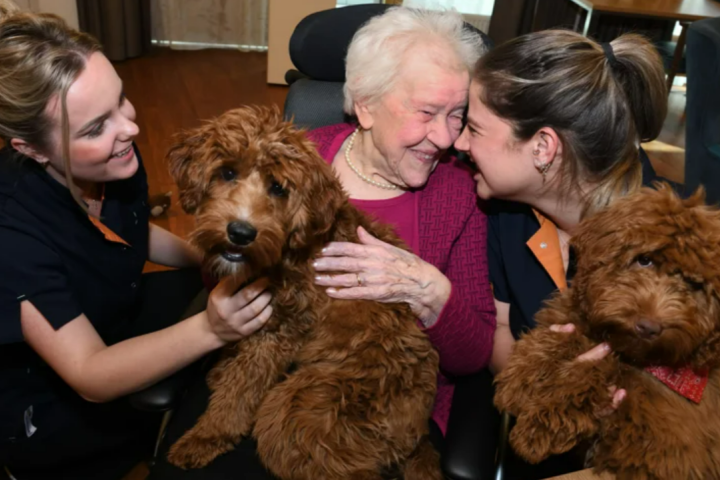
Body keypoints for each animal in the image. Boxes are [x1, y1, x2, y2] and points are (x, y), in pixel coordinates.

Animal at [166, 107, 442, 480]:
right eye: (227, 172)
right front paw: (223, 368)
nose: (240, 232)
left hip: (300, 410)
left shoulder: (282, 331)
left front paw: (207, 435)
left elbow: (241, 390)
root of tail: (420, 433)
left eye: (279, 188)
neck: (290, 249)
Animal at [496, 185, 720, 480]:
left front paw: (538, 427)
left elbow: (599, 370)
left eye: (694, 285)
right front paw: (522, 376)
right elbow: (567, 334)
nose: (648, 327)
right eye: (644, 260)